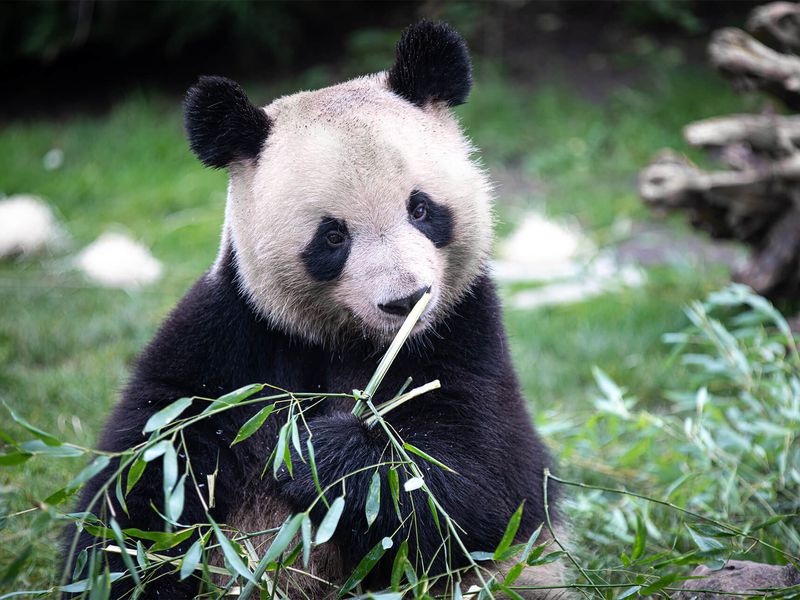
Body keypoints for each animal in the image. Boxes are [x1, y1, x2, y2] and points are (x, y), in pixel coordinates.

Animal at [69, 20, 567, 600]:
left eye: (421, 209)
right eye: (332, 237)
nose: (405, 302)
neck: (353, 340)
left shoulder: (464, 330)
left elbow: (484, 479)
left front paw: (319, 454)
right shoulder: (230, 336)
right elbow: (145, 471)